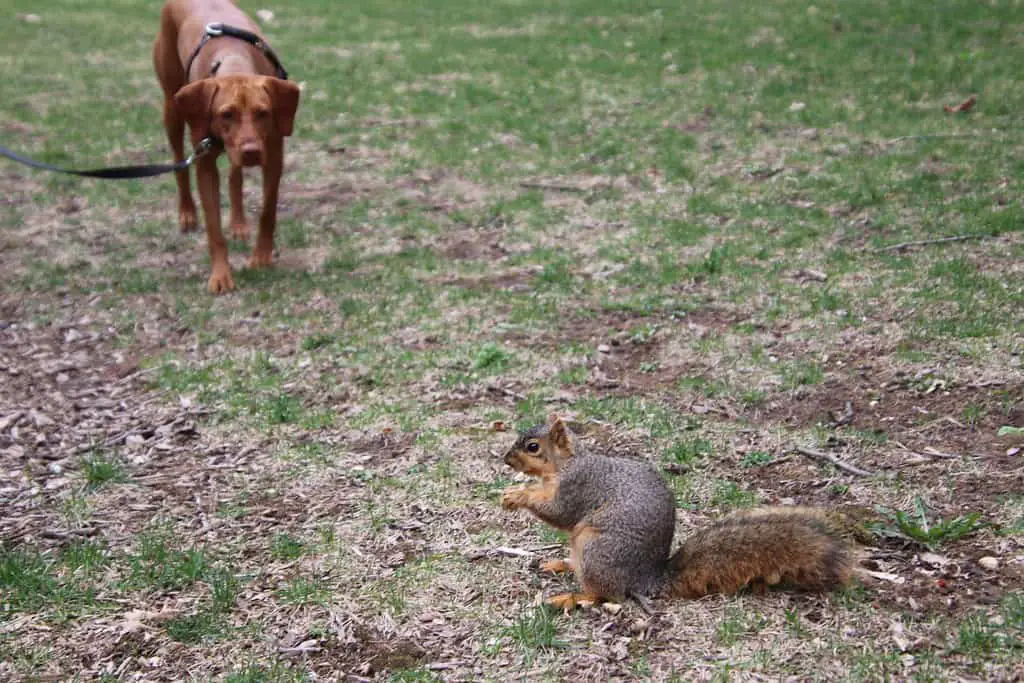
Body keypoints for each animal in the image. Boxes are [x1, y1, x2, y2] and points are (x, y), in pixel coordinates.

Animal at [150, 0, 299, 290]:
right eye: (225, 114)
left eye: (263, 113)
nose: (251, 152)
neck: (234, 59)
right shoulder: (205, 163)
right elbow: (214, 229)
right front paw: (220, 275)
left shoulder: (273, 155)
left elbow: (267, 211)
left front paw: (261, 256)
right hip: (172, 108)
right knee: (179, 163)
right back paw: (187, 213)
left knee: (235, 175)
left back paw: (239, 223)